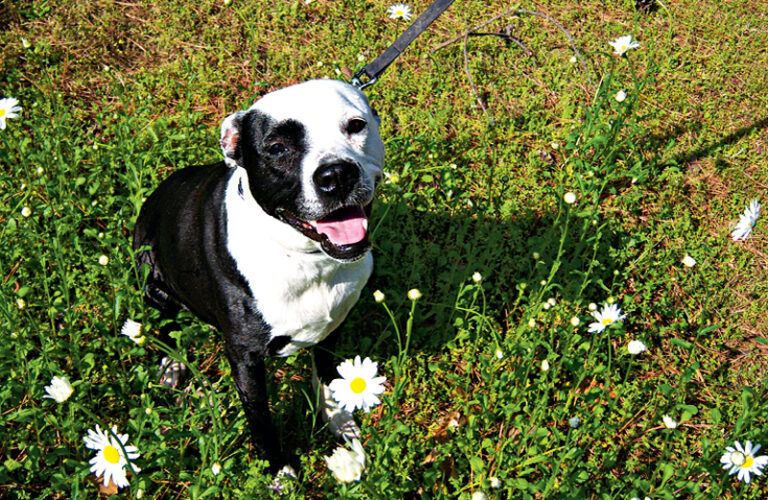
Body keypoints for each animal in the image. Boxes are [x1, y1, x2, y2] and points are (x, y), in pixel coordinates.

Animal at [134, 80, 384, 470]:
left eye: (356, 126)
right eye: (277, 148)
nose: (337, 175)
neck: (306, 258)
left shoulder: (332, 329)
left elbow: (328, 378)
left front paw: (342, 429)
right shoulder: (245, 359)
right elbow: (261, 419)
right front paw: (279, 470)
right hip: (153, 281)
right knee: (166, 326)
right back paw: (171, 365)